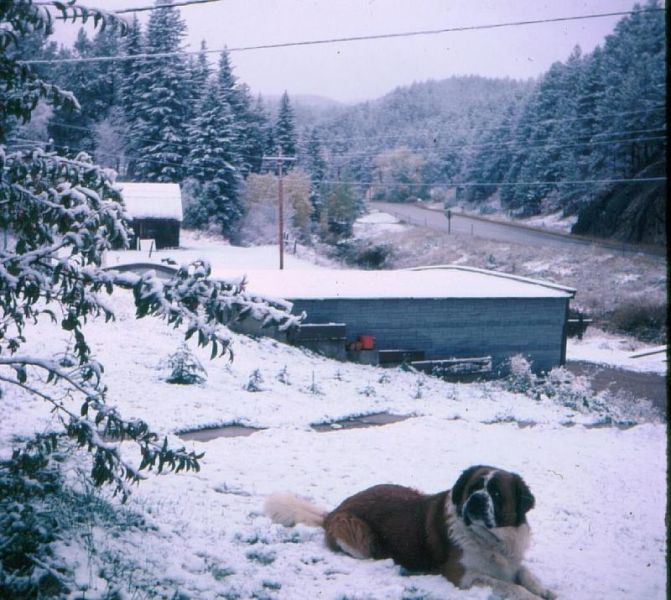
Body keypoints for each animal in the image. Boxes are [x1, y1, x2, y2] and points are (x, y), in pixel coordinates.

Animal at [264, 464, 556, 600]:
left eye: (496, 493)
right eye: (473, 488)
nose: (475, 500)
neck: (489, 538)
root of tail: (333, 512)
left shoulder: (511, 561)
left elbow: (524, 574)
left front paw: (545, 589)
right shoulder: (462, 575)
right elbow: (507, 584)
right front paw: (531, 595)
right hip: (358, 534)